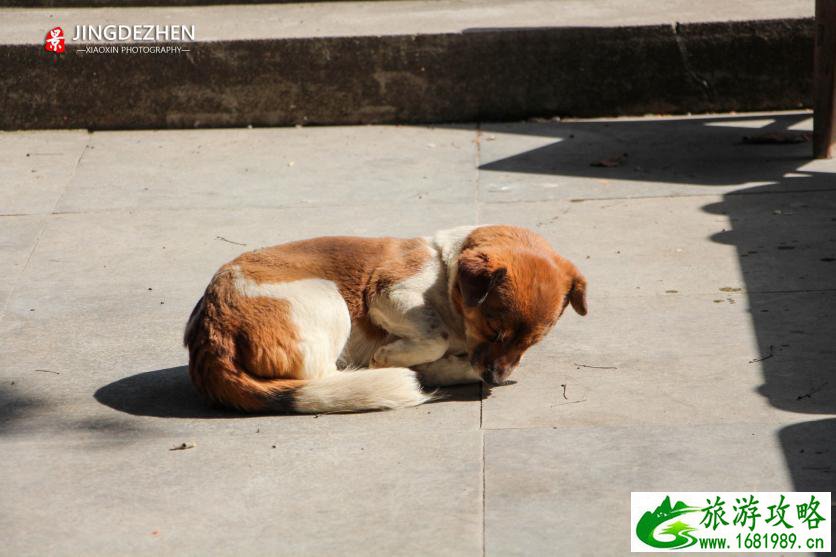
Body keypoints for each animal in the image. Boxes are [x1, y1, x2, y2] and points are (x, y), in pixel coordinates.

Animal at [183, 225, 588, 412]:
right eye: (493, 329)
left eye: (531, 343)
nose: (496, 379)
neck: (445, 272)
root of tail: (211, 337)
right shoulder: (387, 292)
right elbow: (435, 335)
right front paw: (392, 356)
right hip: (329, 299)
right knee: (325, 374)